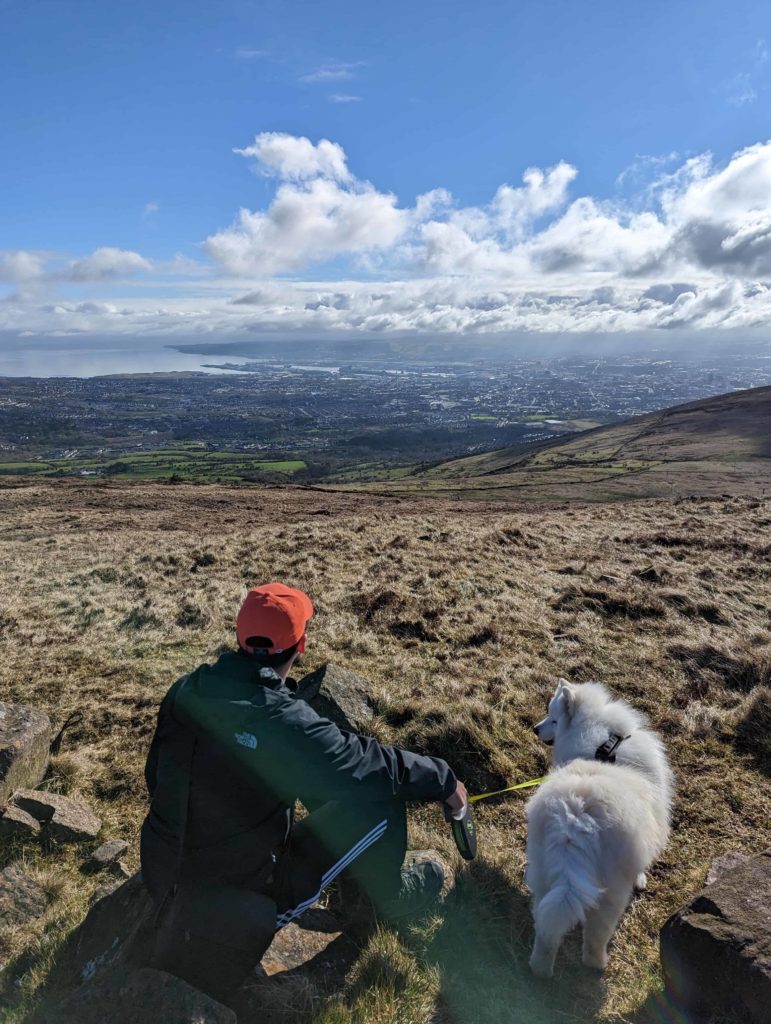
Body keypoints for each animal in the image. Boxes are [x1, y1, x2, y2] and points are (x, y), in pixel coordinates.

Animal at [528, 679, 671, 974]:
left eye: (553, 718)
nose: (534, 728)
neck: (604, 746)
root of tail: (573, 820)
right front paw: (641, 879)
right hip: (610, 895)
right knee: (595, 935)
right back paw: (598, 964)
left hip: (544, 875)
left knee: (546, 927)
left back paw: (540, 969)